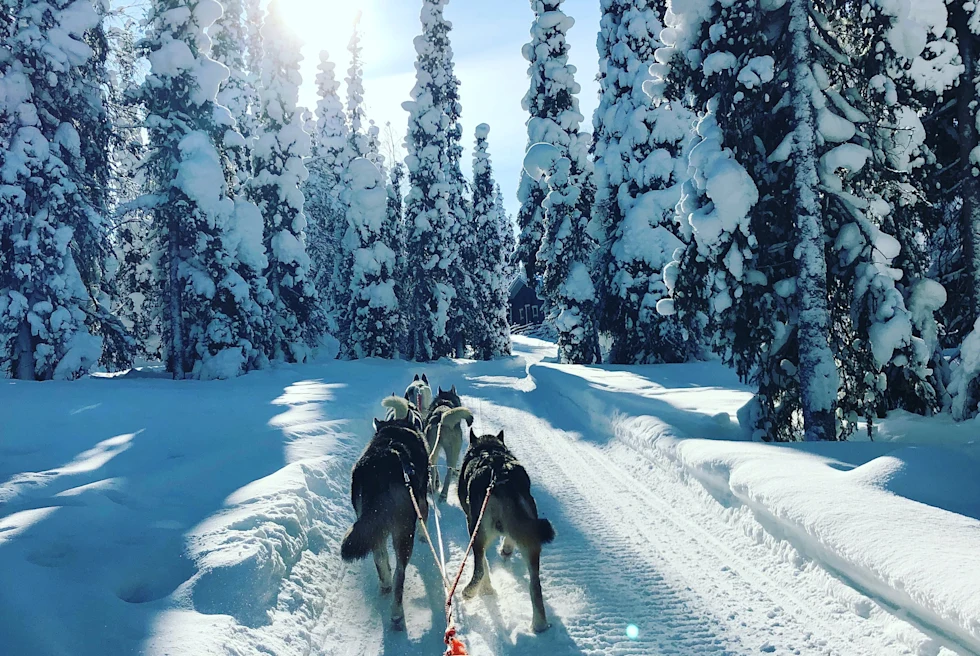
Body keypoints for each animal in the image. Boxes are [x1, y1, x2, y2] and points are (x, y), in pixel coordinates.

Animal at [340, 416, 428, 632]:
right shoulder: (422, 501)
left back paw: (385, 585)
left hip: (373, 528)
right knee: (400, 573)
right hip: (404, 533)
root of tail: (381, 468)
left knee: (380, 559)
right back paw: (396, 614)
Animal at [458, 428, 556, 632]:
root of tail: (503, 479)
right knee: (535, 586)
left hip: (477, 531)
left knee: (480, 568)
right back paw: (540, 624)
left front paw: (486, 590)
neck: (488, 449)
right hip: (531, 542)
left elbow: (484, 564)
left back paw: (472, 591)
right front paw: (507, 549)